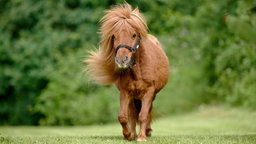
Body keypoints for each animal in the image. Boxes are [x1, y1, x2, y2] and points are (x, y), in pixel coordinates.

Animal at [86, 3, 169, 142]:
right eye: (114, 36)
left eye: (134, 35)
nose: (121, 60)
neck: (138, 71)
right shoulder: (125, 92)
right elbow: (123, 116)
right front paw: (128, 135)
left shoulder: (149, 91)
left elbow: (143, 114)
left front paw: (142, 137)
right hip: (133, 97)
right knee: (132, 114)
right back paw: (134, 133)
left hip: (151, 95)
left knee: (147, 111)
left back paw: (147, 131)